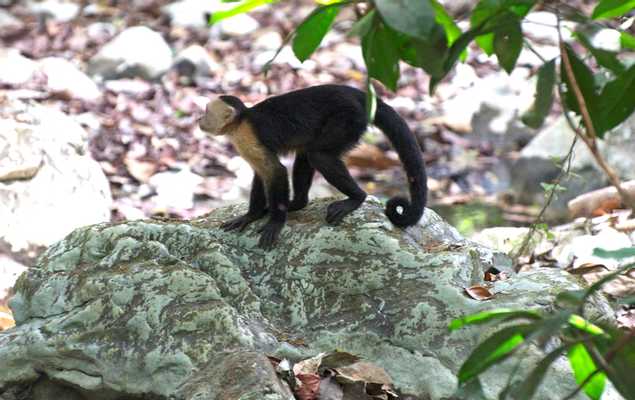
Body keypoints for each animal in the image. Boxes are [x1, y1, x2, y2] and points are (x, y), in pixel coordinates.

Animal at [199, 84, 428, 248]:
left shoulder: (248, 135)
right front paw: (251, 216)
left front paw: (275, 222)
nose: (199, 118)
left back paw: (356, 198)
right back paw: (297, 203)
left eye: (206, 111)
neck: (239, 122)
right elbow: (262, 173)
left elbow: (275, 171)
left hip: (348, 117)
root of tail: (357, 94)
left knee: (319, 156)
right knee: (307, 154)